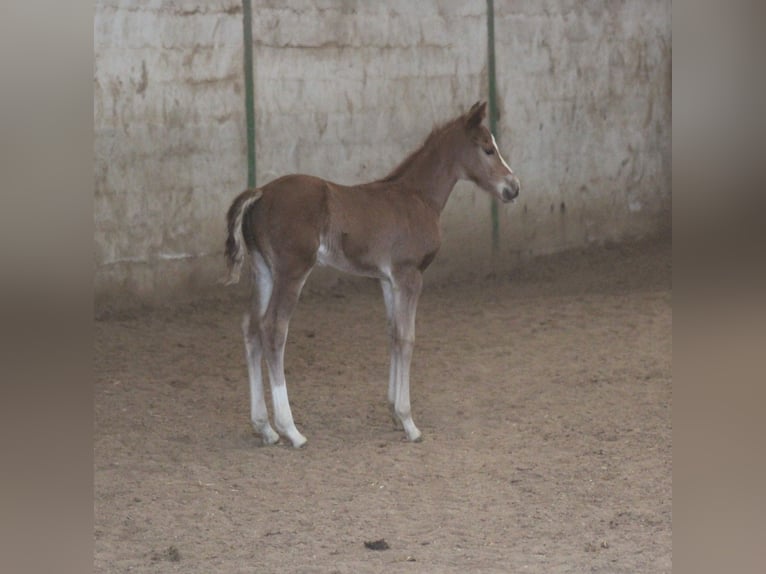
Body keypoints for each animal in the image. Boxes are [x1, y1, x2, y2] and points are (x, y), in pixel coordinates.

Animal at [224, 101, 520, 447]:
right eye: (487, 148)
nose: (513, 188)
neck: (417, 197)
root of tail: (260, 192)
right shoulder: (409, 276)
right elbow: (407, 337)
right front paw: (409, 422)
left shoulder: (387, 280)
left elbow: (393, 332)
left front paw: (393, 412)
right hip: (291, 271)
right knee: (273, 329)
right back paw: (290, 430)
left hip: (263, 271)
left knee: (251, 327)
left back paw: (264, 428)